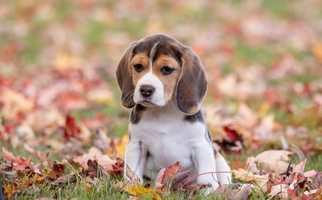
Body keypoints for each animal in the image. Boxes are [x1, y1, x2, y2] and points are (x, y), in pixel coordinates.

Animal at [117, 34, 230, 191]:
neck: (164, 111)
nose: (145, 89)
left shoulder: (201, 146)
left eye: (167, 69)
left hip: (220, 161)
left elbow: (206, 176)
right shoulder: (136, 145)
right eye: (138, 67)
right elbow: (132, 174)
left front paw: (207, 191)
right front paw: (132, 189)